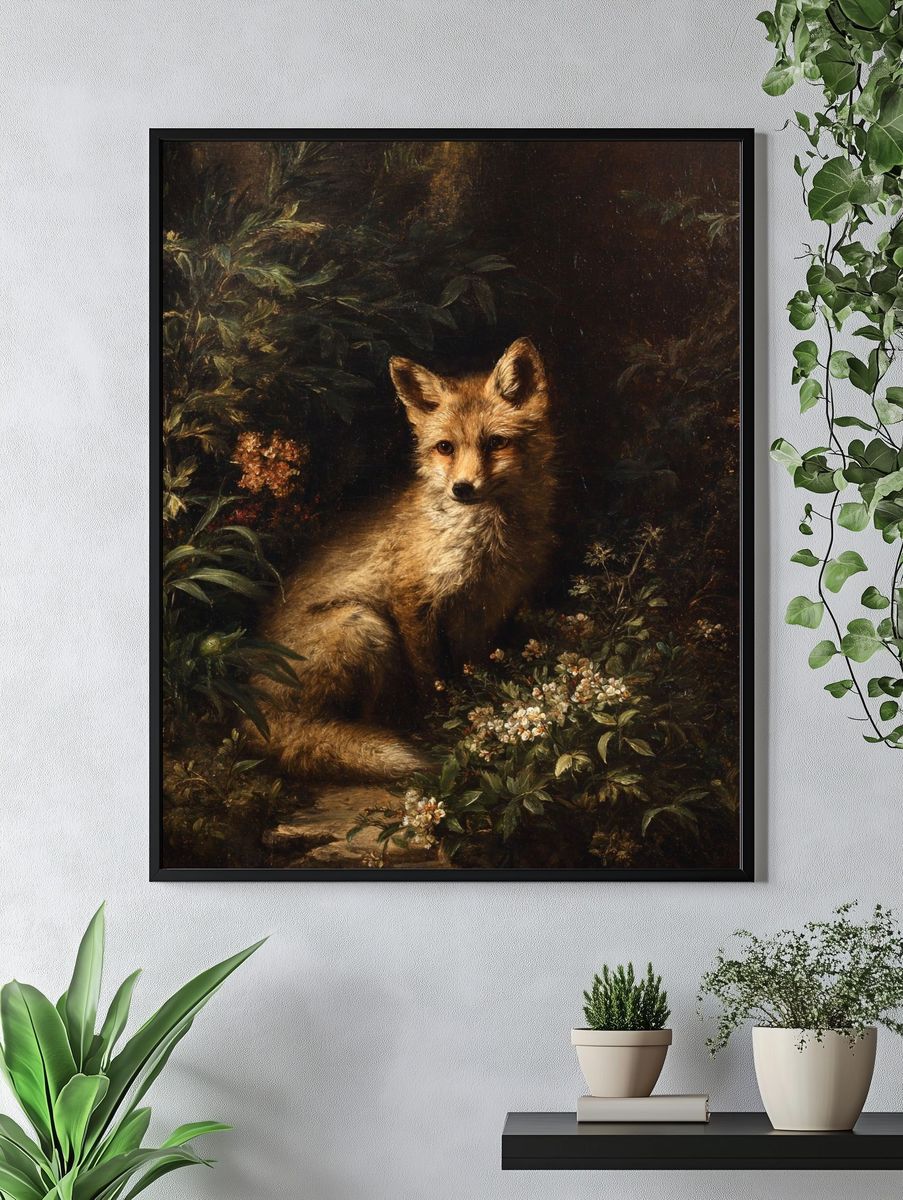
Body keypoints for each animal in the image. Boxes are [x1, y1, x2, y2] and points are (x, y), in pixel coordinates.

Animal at [253, 337, 556, 782]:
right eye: (445, 448)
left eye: (496, 443)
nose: (462, 489)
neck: (490, 539)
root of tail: (252, 704)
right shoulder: (412, 599)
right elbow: (430, 675)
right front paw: (443, 718)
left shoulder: (482, 608)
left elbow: (472, 665)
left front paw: (479, 704)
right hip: (364, 624)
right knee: (353, 721)